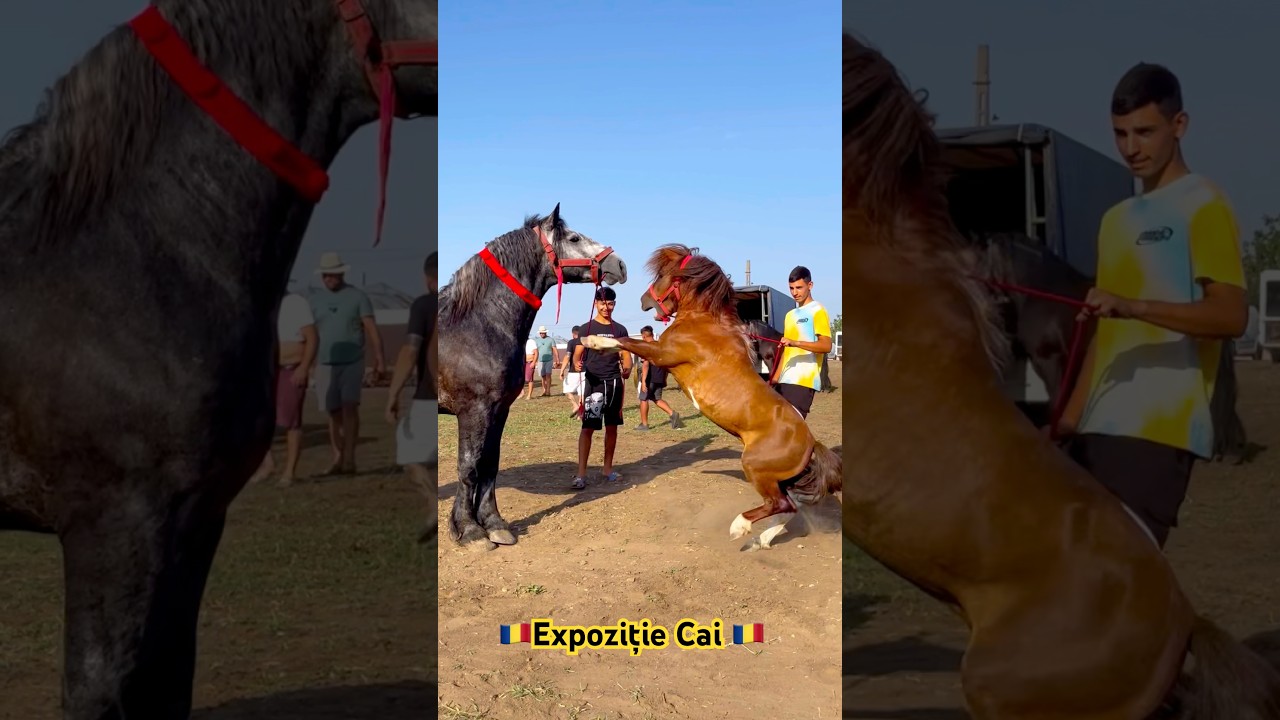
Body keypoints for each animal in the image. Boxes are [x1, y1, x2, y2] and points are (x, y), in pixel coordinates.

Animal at [436, 205, 626, 552]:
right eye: (573, 238)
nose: (618, 264)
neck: (477, 325)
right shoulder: (473, 412)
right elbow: (468, 467)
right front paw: (469, 531)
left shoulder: (499, 410)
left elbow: (489, 465)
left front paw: (494, 525)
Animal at [580, 245, 842, 550]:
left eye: (664, 276)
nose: (644, 300)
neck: (704, 323)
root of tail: (811, 444)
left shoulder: (662, 354)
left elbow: (627, 342)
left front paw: (593, 340)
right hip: (778, 477)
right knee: (789, 507)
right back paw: (761, 540)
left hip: (755, 467)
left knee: (780, 505)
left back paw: (740, 528)